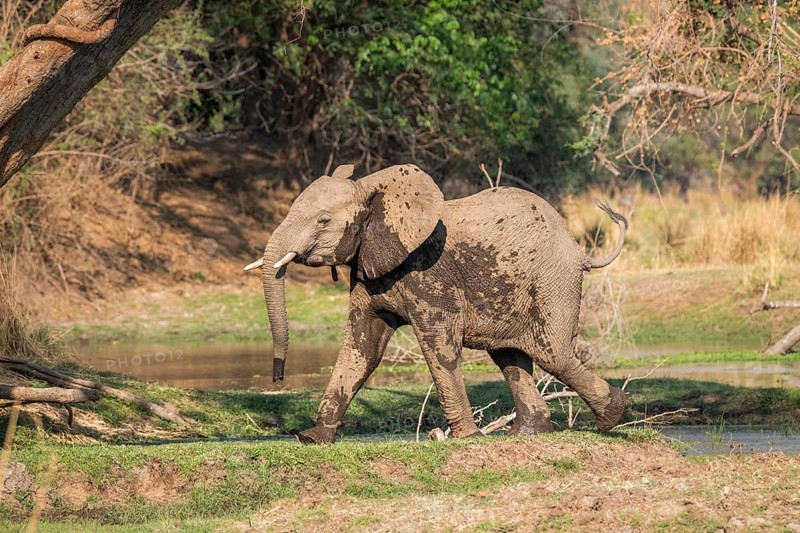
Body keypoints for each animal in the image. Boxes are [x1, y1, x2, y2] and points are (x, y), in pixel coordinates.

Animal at [245, 163, 628, 444]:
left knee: (553, 354)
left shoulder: (428, 272)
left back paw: (611, 416)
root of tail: (578, 250)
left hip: (552, 281)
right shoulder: (369, 268)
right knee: (510, 356)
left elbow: (438, 345)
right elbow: (361, 347)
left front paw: (468, 439)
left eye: (323, 221)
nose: (278, 377)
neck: (374, 190)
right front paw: (313, 438)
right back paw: (526, 433)